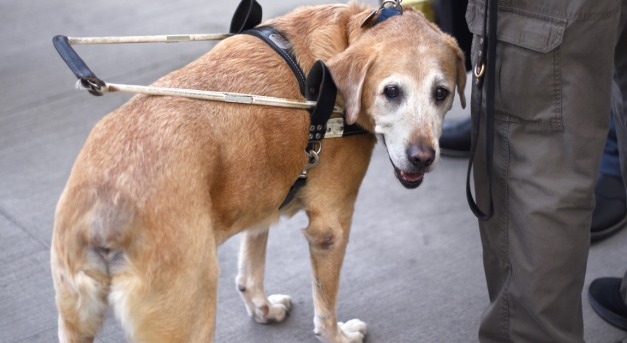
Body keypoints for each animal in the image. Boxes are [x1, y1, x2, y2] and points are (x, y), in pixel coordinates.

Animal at [51, 1, 466, 342]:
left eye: (441, 93)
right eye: (391, 92)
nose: (422, 157)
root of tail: (104, 213)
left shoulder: (261, 198)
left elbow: (252, 267)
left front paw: (262, 308)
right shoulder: (329, 229)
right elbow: (325, 307)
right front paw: (338, 335)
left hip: (74, 320)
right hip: (189, 316)